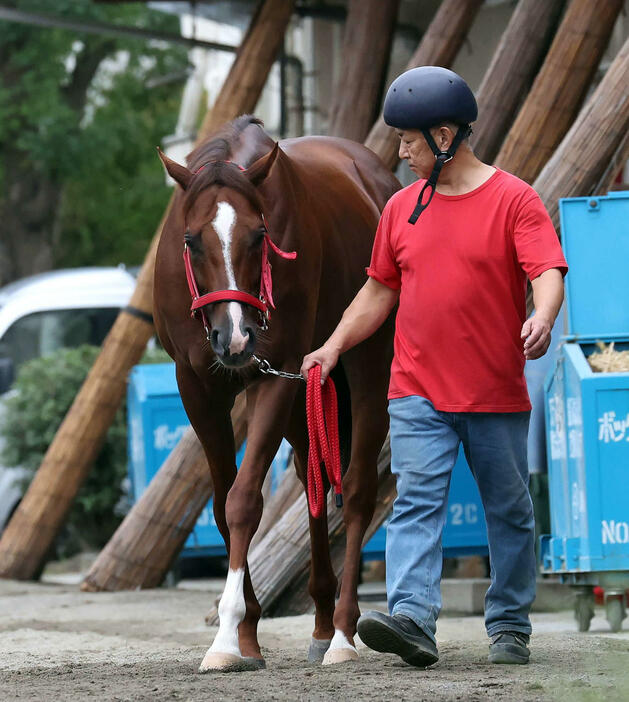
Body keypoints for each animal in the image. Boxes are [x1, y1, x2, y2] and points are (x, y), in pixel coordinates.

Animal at [153, 118, 398, 672]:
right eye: (190, 240)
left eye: (259, 235)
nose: (235, 337)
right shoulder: (197, 387)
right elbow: (222, 507)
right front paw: (244, 636)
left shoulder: (274, 376)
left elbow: (244, 501)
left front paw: (225, 638)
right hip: (310, 388)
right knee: (313, 485)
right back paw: (322, 621)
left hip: (366, 364)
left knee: (355, 490)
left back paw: (342, 633)